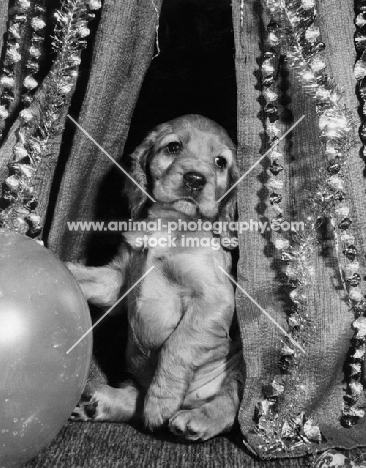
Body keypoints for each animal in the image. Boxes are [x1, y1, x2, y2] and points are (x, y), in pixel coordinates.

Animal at [68, 115, 246, 440]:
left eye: (220, 162)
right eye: (173, 147)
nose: (195, 179)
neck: (171, 223)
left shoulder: (213, 298)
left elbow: (179, 344)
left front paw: (160, 404)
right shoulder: (119, 282)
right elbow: (88, 278)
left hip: (238, 367)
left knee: (231, 401)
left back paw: (196, 419)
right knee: (133, 398)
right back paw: (98, 403)